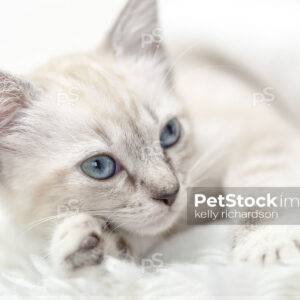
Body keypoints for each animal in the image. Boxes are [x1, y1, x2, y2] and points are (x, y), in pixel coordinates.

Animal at [0, 0, 298, 272]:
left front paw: (268, 241)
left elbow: (260, 187)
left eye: (170, 133)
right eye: (99, 166)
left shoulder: (257, 135)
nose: (170, 193)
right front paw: (85, 244)